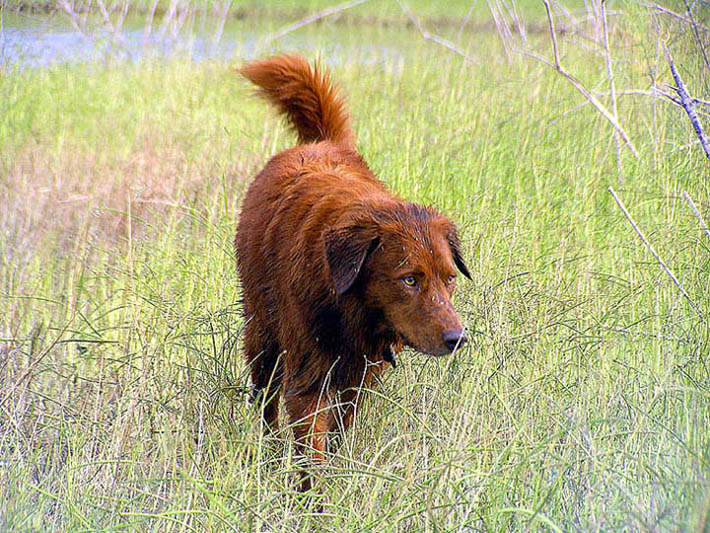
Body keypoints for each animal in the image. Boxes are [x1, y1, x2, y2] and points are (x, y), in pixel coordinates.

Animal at [235, 55, 472, 490]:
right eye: (409, 279)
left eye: (449, 278)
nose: (456, 339)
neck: (345, 303)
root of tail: (320, 144)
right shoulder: (309, 379)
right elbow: (310, 455)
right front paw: (310, 498)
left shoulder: (359, 378)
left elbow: (337, 439)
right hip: (262, 337)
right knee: (266, 403)